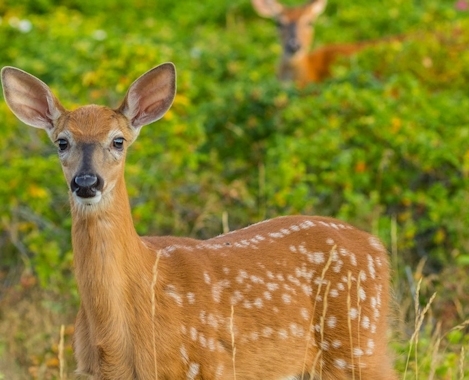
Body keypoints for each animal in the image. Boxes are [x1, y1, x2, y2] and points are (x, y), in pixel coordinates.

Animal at [1, 63, 396, 378]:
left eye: (118, 141)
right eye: (62, 142)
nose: (86, 182)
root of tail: (377, 245)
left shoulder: (206, 365)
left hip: (358, 344)